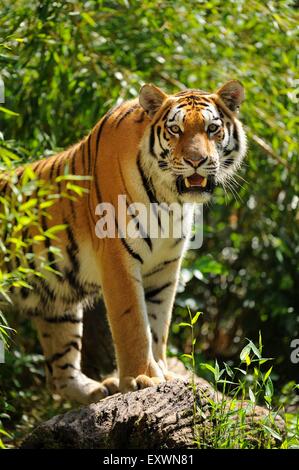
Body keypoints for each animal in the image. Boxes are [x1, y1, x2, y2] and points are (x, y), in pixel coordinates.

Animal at [0, 81, 247, 404]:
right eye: (176, 130)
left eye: (212, 128)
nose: (196, 161)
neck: (171, 199)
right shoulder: (118, 259)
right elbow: (134, 325)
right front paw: (141, 377)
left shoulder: (164, 268)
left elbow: (158, 325)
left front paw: (162, 371)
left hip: (58, 307)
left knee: (59, 372)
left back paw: (95, 390)